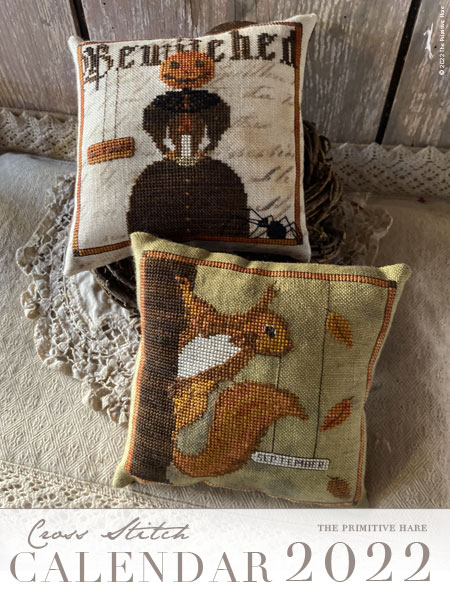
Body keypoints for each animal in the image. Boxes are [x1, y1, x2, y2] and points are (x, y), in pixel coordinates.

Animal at [171, 277, 308, 478]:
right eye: (271, 330)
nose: (289, 346)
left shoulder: (234, 359)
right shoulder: (216, 321)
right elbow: (199, 308)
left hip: (198, 400)